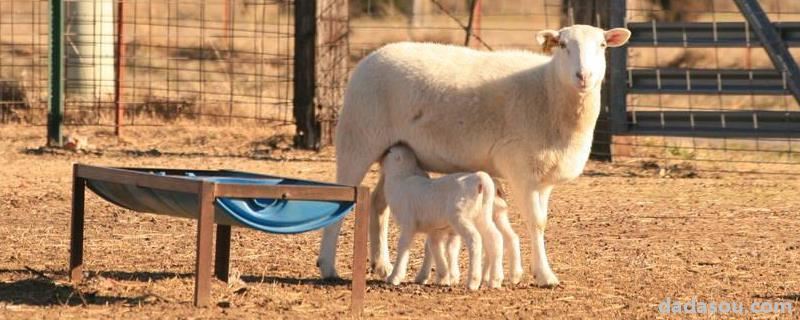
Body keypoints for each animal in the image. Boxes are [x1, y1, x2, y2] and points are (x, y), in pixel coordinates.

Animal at [380, 145, 500, 290]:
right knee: (495, 238)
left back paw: (473, 282)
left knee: (475, 239)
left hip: (460, 216)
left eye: (388, 151)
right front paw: (441, 277)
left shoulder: (408, 224)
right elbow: (434, 248)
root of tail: (479, 179)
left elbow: (403, 247)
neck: (400, 178)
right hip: (482, 214)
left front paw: (394, 277)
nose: (380, 158)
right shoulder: (435, 229)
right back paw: (495, 281)